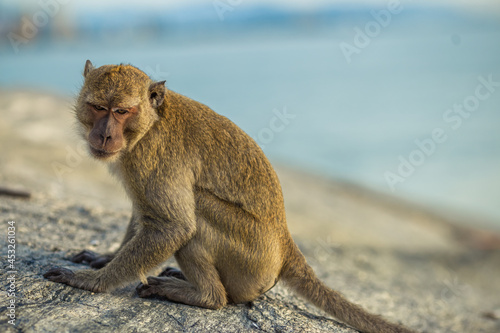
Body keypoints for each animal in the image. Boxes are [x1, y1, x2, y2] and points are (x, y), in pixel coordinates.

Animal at [44, 60, 418, 332]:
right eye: (96, 107)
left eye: (121, 112)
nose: (105, 135)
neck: (150, 124)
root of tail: (285, 243)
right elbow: (144, 215)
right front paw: (104, 257)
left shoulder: (150, 157)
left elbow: (173, 226)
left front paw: (91, 282)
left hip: (250, 261)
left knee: (195, 217)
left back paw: (206, 297)